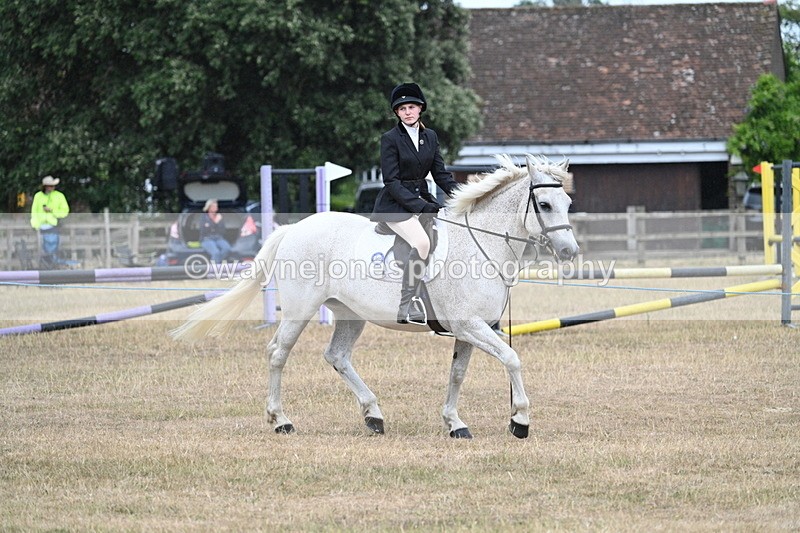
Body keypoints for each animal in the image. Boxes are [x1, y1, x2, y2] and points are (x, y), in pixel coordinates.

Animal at [171, 154, 579, 439]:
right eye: (544, 205)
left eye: (567, 205)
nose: (570, 252)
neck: (479, 245)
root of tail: (293, 229)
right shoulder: (470, 325)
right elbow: (512, 358)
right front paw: (520, 420)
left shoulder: (470, 329)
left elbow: (458, 374)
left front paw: (455, 423)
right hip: (301, 308)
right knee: (278, 353)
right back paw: (281, 421)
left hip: (350, 314)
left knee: (336, 356)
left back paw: (373, 415)